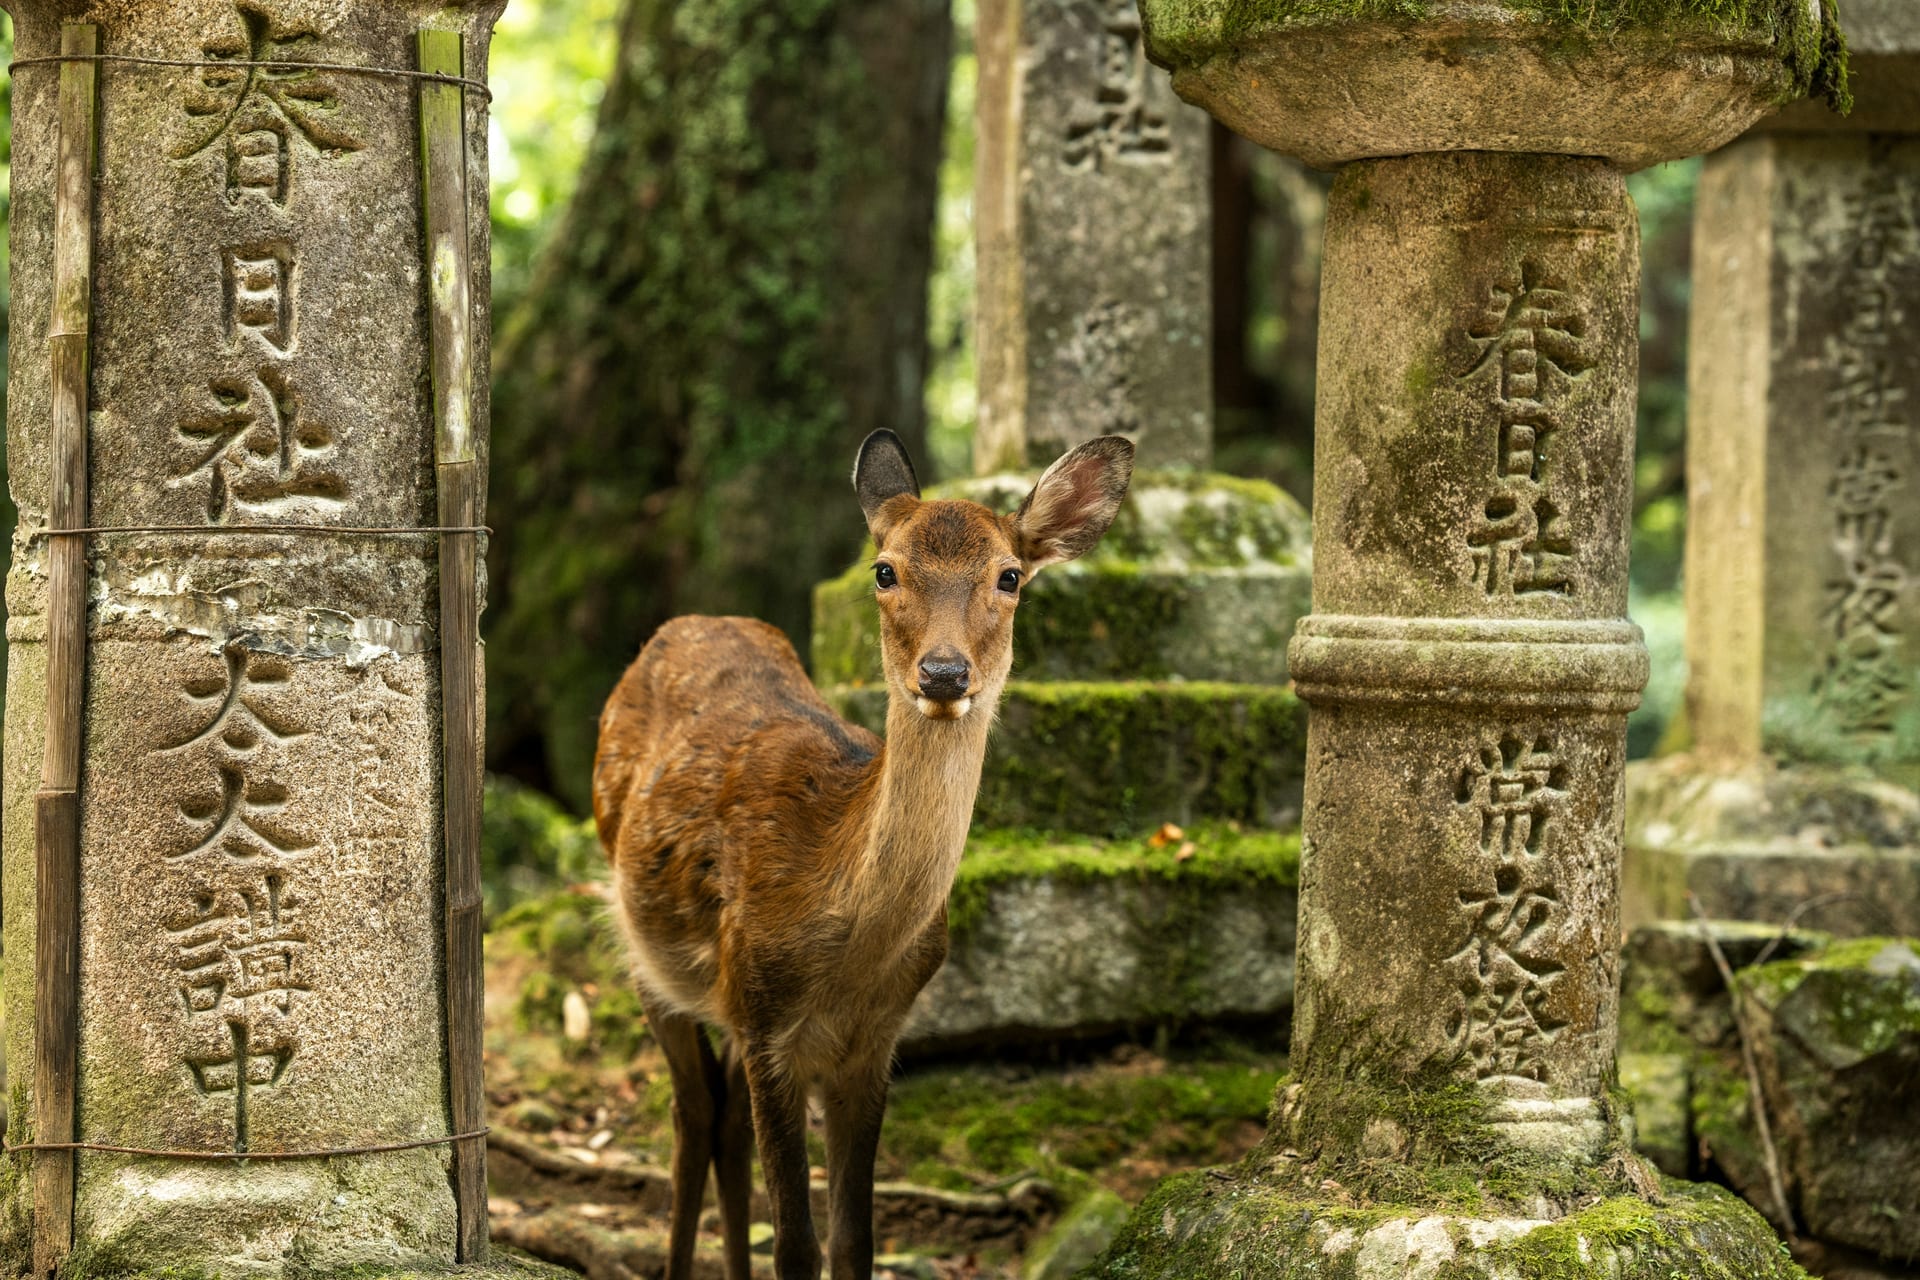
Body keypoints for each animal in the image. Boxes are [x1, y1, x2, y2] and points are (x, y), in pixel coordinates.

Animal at [591, 429, 1134, 1280]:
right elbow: (796, 1243)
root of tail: (691, 620)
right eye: (885, 570)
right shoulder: (767, 1021)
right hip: (642, 945)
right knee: (692, 1115)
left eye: (1009, 576)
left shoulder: (873, 1043)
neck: (847, 950)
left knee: (724, 1125)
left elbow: (853, 1240)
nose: (943, 672)